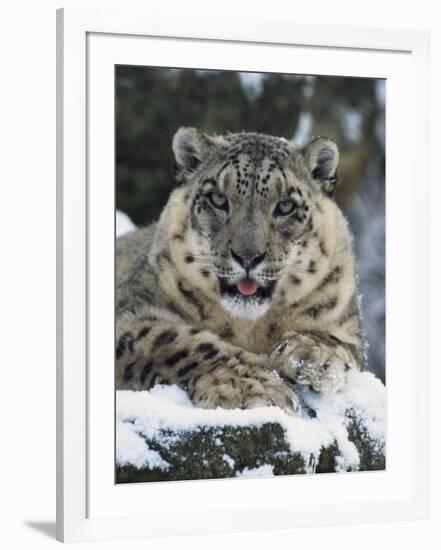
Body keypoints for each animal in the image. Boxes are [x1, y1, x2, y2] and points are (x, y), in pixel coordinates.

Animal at [115, 128, 362, 414]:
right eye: (218, 200)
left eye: (286, 206)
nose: (248, 256)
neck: (250, 327)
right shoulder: (130, 311)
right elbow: (175, 341)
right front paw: (252, 386)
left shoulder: (346, 324)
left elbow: (338, 341)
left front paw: (313, 357)